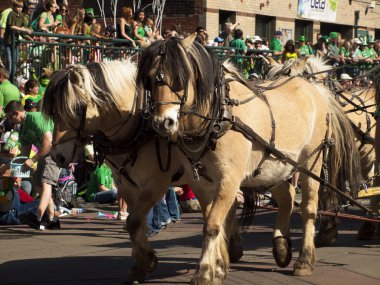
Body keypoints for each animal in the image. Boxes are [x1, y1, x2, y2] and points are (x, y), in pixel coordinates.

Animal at [41, 59, 243, 282]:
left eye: (77, 109)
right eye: (53, 114)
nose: (57, 156)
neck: (136, 124)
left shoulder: (156, 182)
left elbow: (135, 219)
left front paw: (146, 261)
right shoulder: (126, 183)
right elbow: (134, 222)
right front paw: (142, 264)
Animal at [137, 36, 362, 282]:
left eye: (179, 79)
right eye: (149, 80)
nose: (162, 122)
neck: (219, 118)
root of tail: (315, 89)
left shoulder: (229, 179)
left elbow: (213, 224)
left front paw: (205, 271)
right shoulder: (200, 183)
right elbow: (215, 221)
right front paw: (218, 267)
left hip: (311, 163)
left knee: (308, 208)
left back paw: (304, 259)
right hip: (275, 166)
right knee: (287, 198)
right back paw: (281, 246)